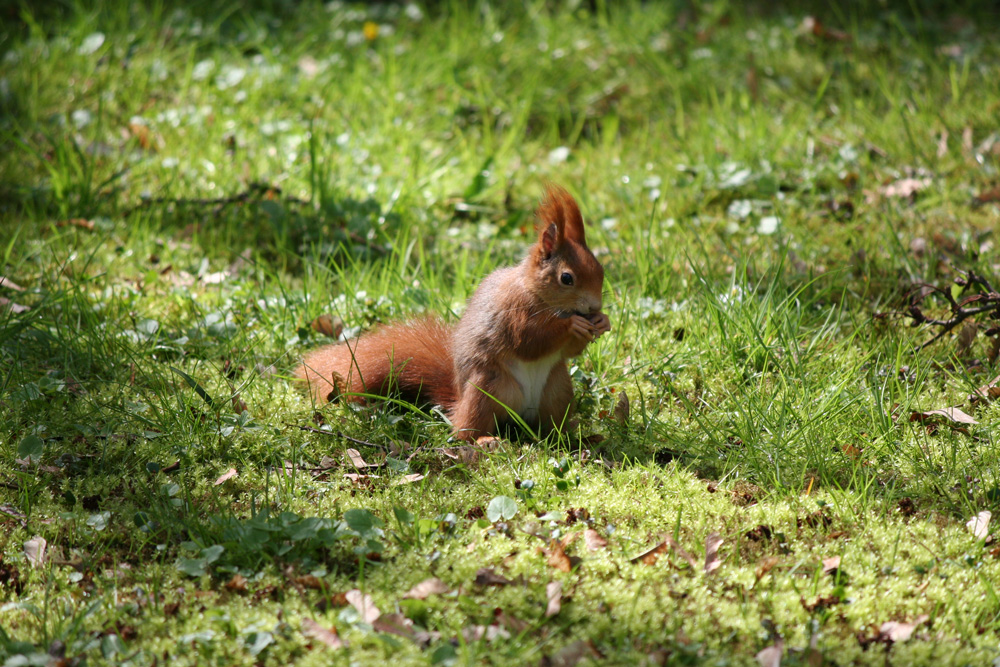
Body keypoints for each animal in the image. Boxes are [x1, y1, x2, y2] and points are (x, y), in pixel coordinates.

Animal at [294, 185, 608, 440]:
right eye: (566, 278)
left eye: (600, 269)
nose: (594, 307)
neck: (540, 296)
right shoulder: (511, 312)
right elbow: (529, 341)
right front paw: (573, 326)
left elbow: (568, 352)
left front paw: (602, 322)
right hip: (488, 390)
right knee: (465, 431)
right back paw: (484, 441)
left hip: (557, 390)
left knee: (550, 425)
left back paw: (572, 435)